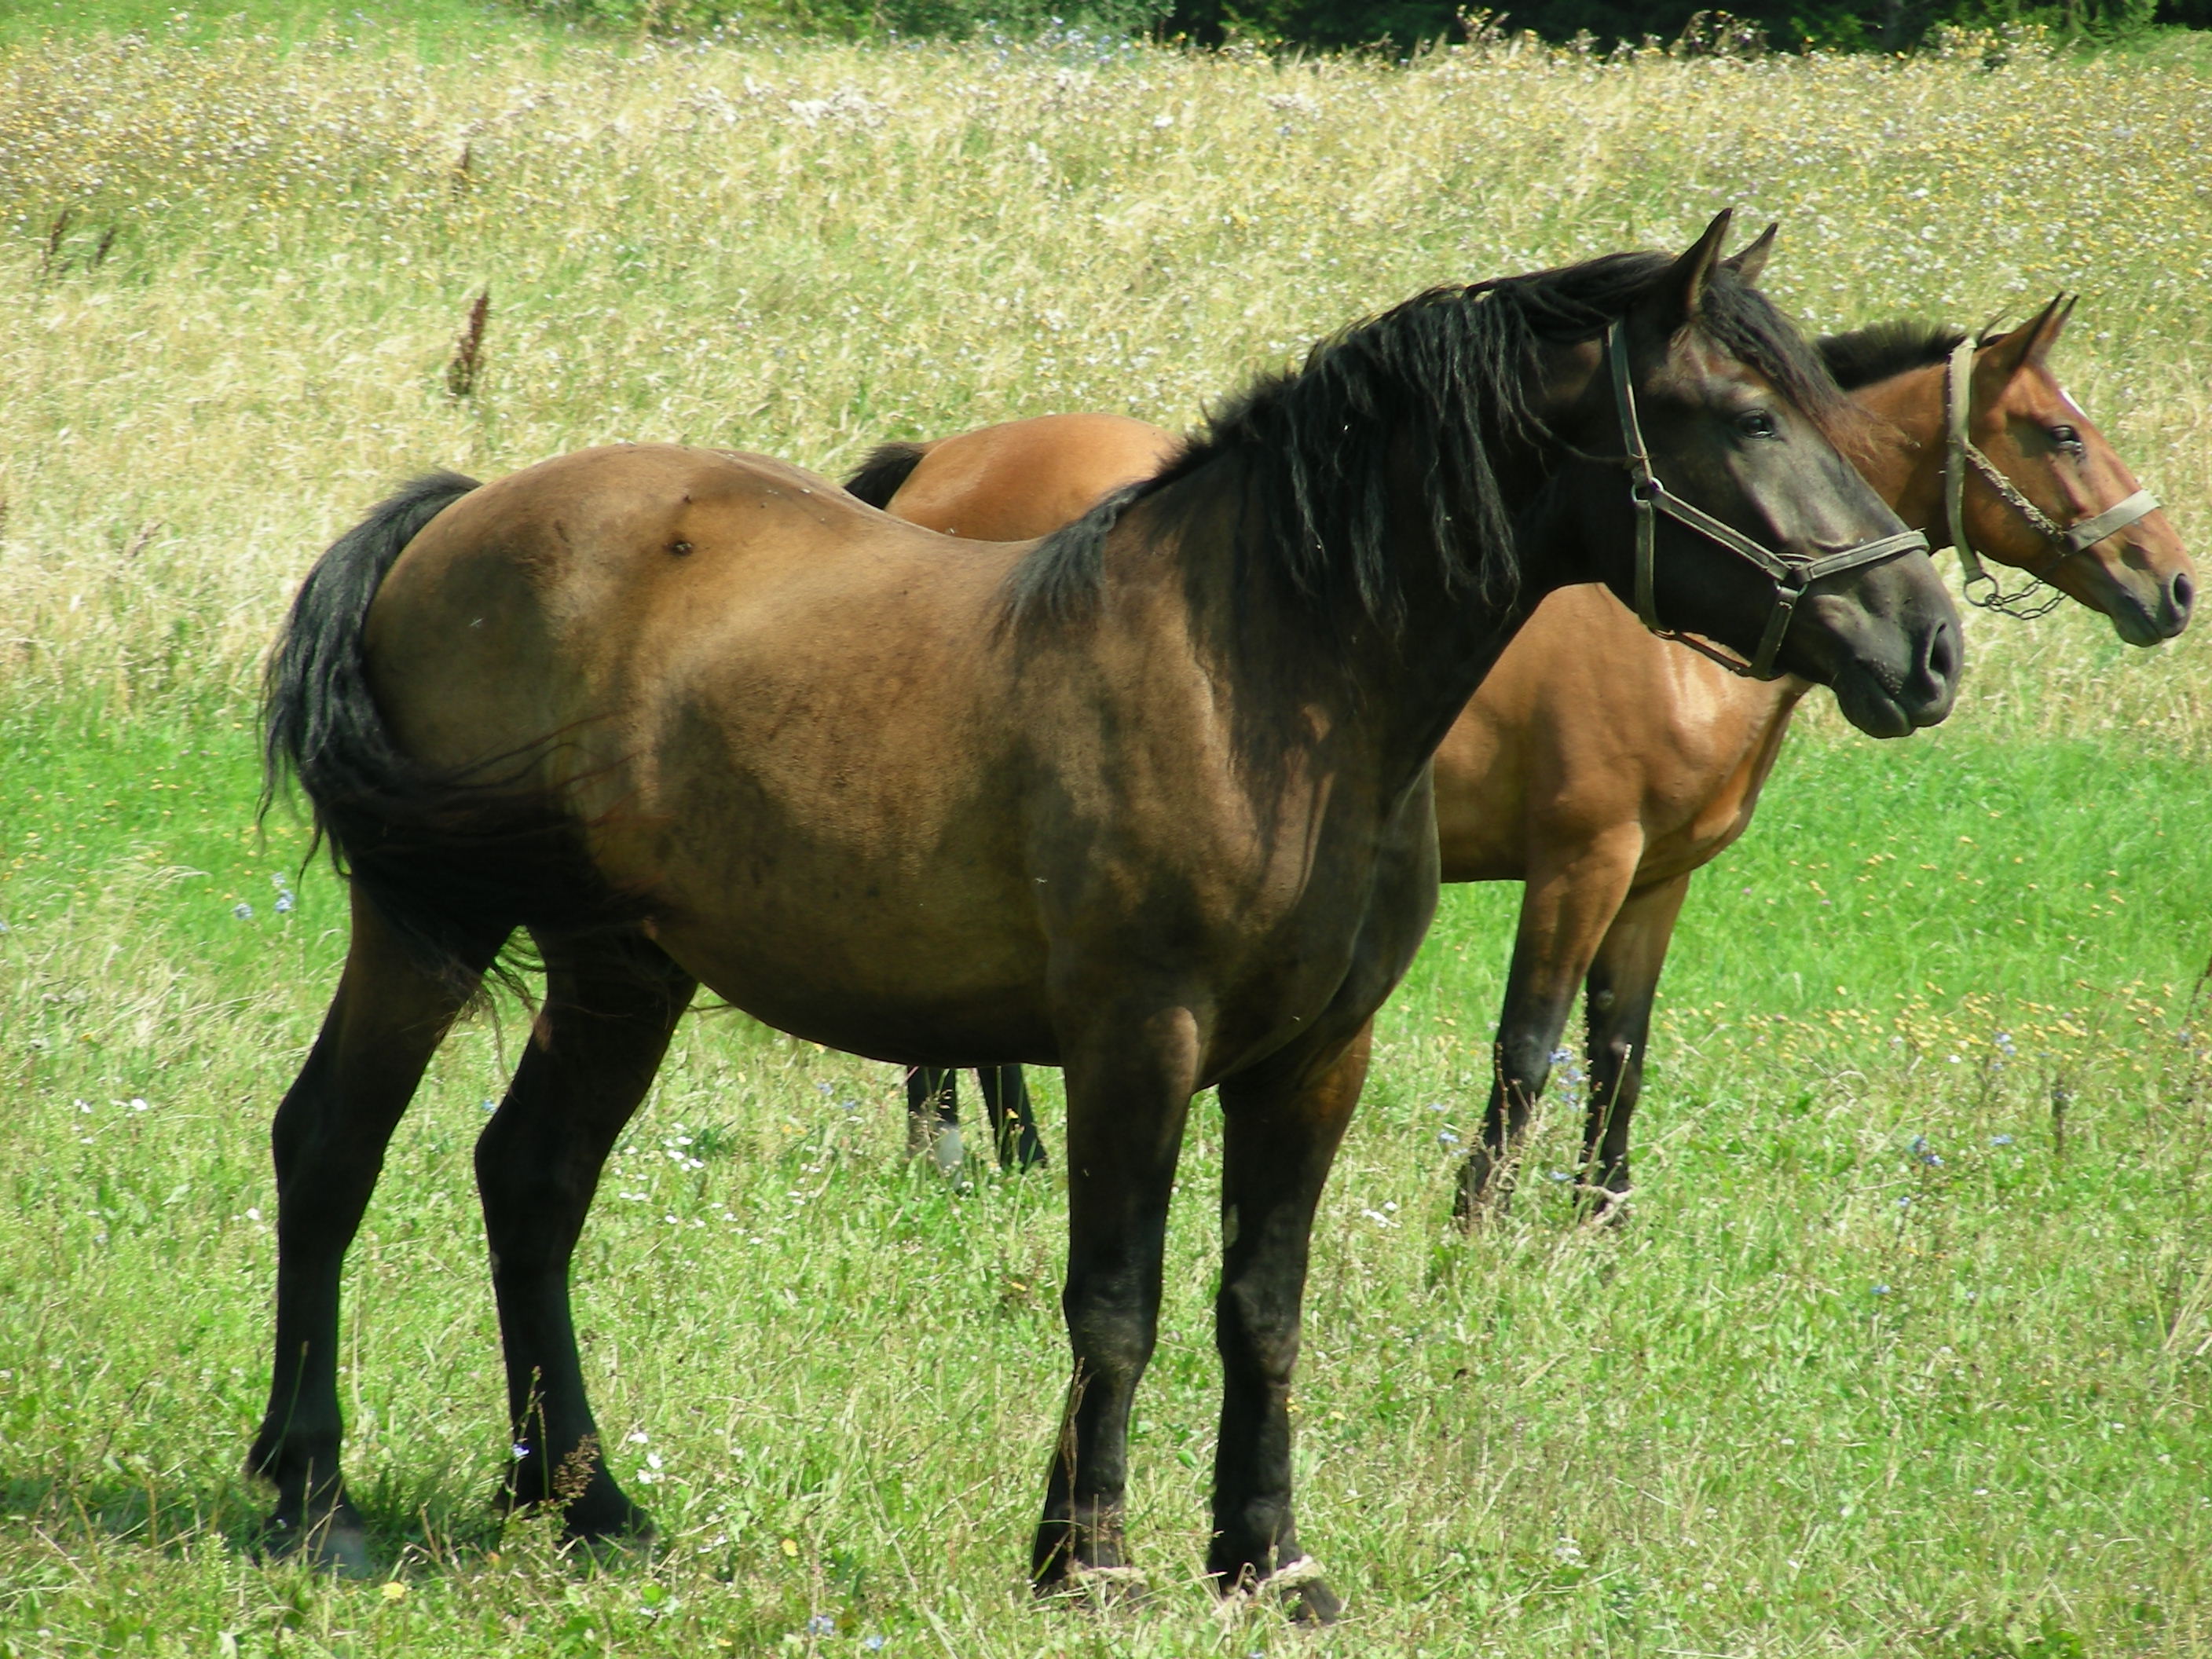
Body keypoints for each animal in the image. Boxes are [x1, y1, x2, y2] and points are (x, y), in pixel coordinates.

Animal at [251, 214, 1960, 1615]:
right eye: (1745, 417)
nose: (1926, 645)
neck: (1269, 669)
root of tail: (460, 516)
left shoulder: (1314, 1059)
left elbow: (1262, 1307)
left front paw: (1267, 1560)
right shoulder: (1138, 1039)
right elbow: (1117, 1301)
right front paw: (1093, 1558)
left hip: (623, 965)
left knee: (531, 1181)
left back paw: (585, 1501)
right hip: (430, 926)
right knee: (331, 1147)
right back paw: (311, 1491)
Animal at [844, 287, 2190, 1219]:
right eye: (2060, 434)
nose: (2171, 585)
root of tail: (937, 465)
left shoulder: (1658, 881)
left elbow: (1620, 1050)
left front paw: (1601, 1221)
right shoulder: (1581, 862)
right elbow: (1530, 1046)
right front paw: (1478, 1223)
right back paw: (977, 1154)